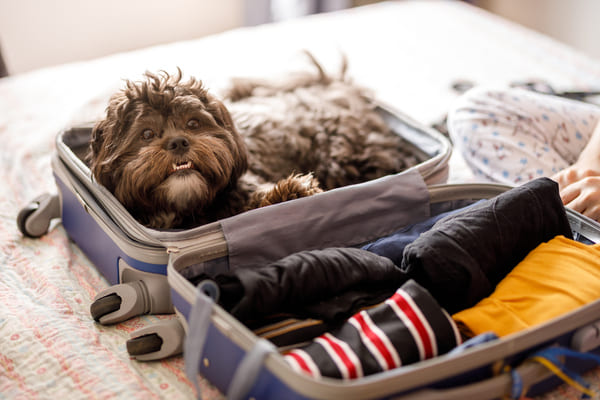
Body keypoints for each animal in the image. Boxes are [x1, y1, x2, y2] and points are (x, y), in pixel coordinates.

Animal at [89, 56, 418, 231]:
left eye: (193, 124)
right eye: (146, 134)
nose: (178, 142)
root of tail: (336, 85)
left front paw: (292, 192)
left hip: (345, 153)